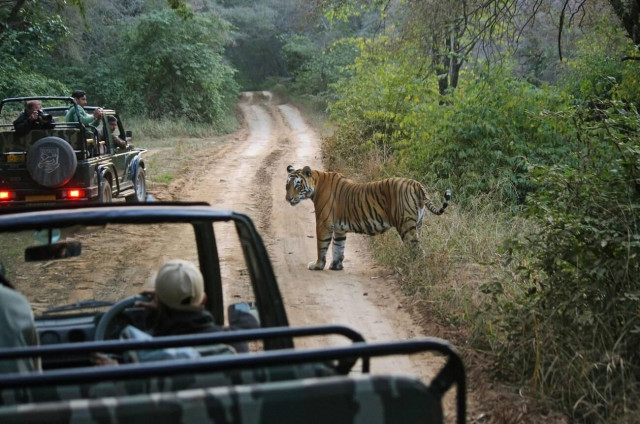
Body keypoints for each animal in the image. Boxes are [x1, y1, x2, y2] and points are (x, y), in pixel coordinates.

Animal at [285, 165, 451, 271]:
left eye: (297, 185)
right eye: (287, 185)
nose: (288, 199)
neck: (316, 183)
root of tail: (416, 184)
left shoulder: (323, 223)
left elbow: (322, 246)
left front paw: (317, 265)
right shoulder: (339, 229)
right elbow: (338, 247)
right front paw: (336, 266)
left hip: (406, 226)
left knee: (418, 251)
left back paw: (413, 269)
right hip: (418, 225)